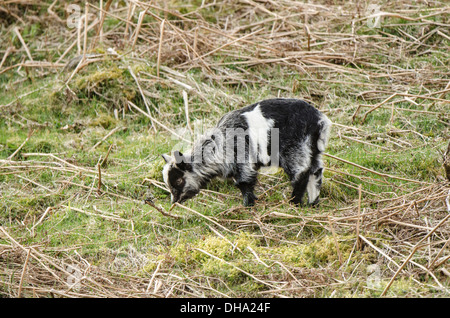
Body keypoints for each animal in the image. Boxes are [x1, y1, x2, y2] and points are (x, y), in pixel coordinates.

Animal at [162, 98, 330, 206]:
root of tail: (319, 120)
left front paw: (248, 205)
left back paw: (294, 202)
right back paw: (312, 203)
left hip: (294, 149)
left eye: (179, 180)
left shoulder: (242, 159)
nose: (175, 201)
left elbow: (244, 182)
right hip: (313, 150)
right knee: (316, 172)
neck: (219, 145)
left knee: (301, 174)